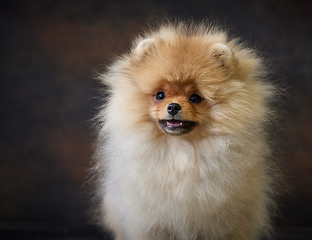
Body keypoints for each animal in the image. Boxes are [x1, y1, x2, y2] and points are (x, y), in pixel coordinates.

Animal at [92, 21, 276, 240]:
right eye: (160, 95)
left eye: (195, 98)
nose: (173, 107)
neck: (181, 152)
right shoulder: (150, 220)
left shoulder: (226, 222)